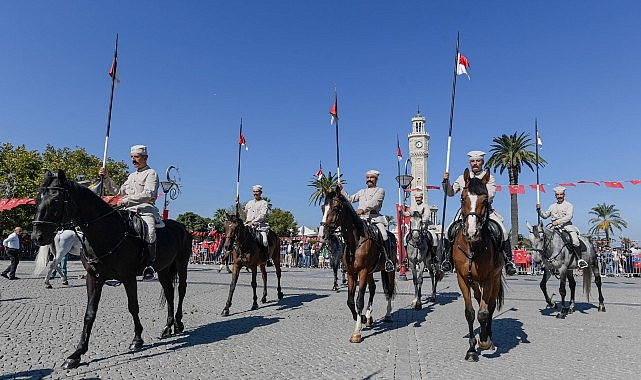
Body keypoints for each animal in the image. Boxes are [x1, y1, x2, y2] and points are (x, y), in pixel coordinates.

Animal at [31, 170, 190, 368]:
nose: (37, 236)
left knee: (181, 290)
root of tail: (181, 227)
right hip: (163, 269)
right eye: (37, 199)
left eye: (55, 200)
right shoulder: (94, 278)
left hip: (182, 265)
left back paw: (179, 323)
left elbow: (133, 307)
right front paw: (77, 353)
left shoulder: (128, 277)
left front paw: (137, 339)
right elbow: (89, 313)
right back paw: (168, 326)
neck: (106, 232)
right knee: (169, 292)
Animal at [316, 189, 396, 342]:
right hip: (370, 272)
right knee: (373, 289)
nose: (321, 236)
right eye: (323, 208)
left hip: (389, 270)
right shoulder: (352, 273)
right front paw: (363, 318)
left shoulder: (362, 272)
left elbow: (359, 300)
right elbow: (350, 301)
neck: (355, 242)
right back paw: (369, 317)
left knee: (388, 290)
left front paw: (357, 332)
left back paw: (388, 315)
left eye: (335, 208)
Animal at [450, 170, 504, 362]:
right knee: (479, 298)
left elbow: (483, 312)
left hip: (495, 279)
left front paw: (484, 341)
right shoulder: (462, 279)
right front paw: (472, 349)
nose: (472, 232)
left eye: (485, 199)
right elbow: (470, 313)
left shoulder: (488, 279)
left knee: (490, 305)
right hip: (474, 282)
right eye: (462, 198)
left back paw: (489, 336)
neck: (472, 246)